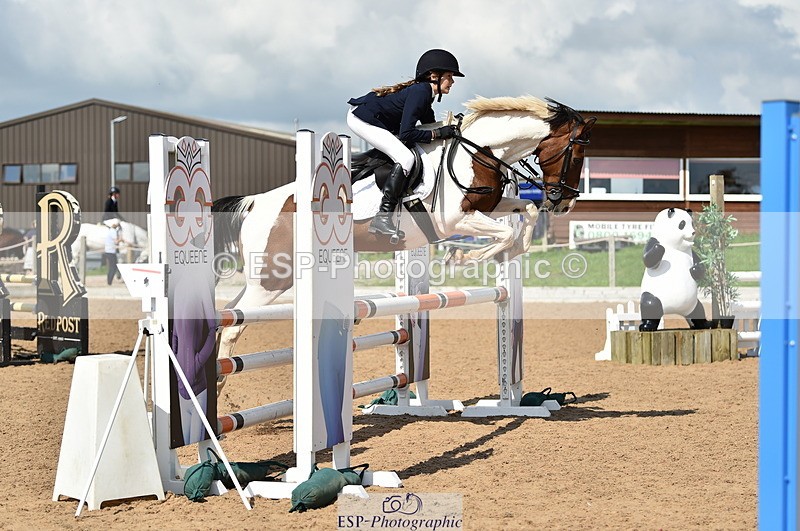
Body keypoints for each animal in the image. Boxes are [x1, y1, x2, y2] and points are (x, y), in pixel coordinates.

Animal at [212, 95, 595, 387]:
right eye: (576, 156)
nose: (564, 203)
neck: (478, 152)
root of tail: (254, 203)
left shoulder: (487, 206)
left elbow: (525, 214)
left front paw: (507, 253)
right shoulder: (455, 219)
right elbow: (504, 232)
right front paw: (459, 259)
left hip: (268, 277)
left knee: (230, 311)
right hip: (273, 279)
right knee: (234, 324)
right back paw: (219, 379)